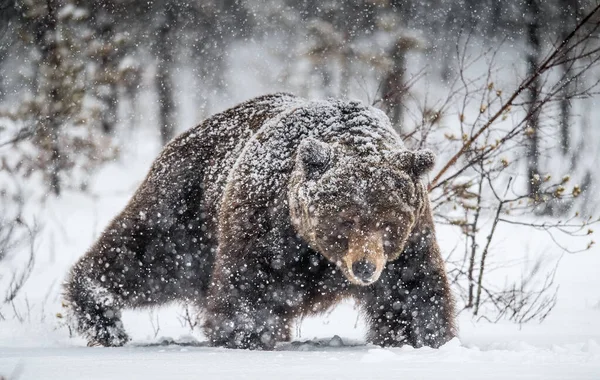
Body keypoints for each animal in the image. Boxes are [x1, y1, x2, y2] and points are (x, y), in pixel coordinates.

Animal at [64, 93, 454, 350]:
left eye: (388, 223)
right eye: (344, 220)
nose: (365, 267)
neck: (316, 254)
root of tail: (187, 132)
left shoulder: (413, 239)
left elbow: (415, 291)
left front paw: (424, 337)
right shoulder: (263, 225)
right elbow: (248, 287)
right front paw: (249, 335)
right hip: (186, 209)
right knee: (142, 256)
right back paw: (99, 313)